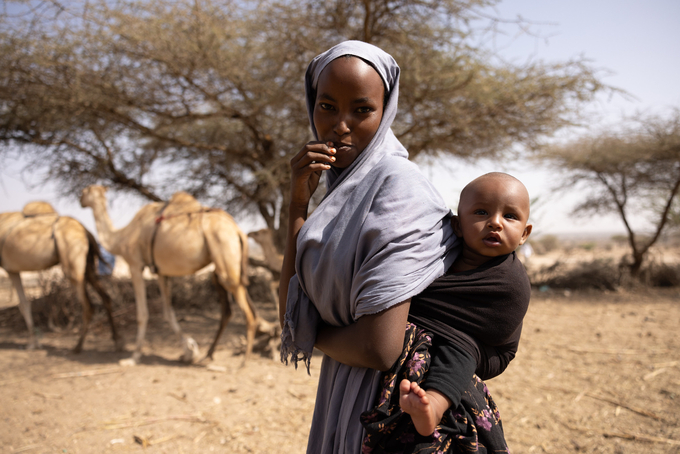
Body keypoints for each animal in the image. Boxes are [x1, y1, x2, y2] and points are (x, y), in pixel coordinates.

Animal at [0, 201, 122, 352]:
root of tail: (86, 231)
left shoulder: (8, 269)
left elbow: (22, 304)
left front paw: (33, 344)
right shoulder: (12, 269)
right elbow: (24, 304)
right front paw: (34, 344)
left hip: (73, 265)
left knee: (88, 305)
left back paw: (78, 346)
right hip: (88, 266)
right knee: (105, 297)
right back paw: (117, 342)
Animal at [79, 184, 260, 366]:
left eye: (85, 191)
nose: (80, 200)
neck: (121, 236)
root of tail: (238, 231)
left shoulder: (135, 265)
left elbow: (142, 314)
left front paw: (133, 358)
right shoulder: (161, 272)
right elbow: (168, 311)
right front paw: (189, 351)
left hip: (224, 254)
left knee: (247, 313)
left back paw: (243, 361)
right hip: (229, 264)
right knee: (237, 307)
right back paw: (210, 354)